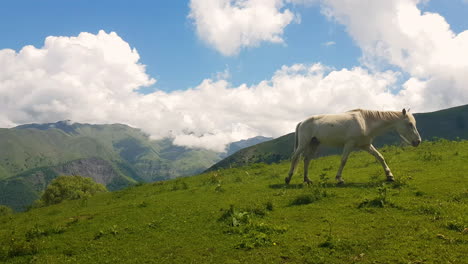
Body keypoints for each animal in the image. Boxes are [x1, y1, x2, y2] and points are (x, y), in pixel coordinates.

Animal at [288, 108, 422, 185]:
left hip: (314, 144)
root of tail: (302, 122)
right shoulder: (349, 144)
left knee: (307, 160)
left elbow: (380, 157)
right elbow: (343, 161)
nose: (418, 141)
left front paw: (389, 176)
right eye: (410, 124)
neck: (366, 121)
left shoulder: (366, 145)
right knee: (295, 157)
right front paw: (339, 179)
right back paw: (288, 178)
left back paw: (307, 180)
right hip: (303, 144)